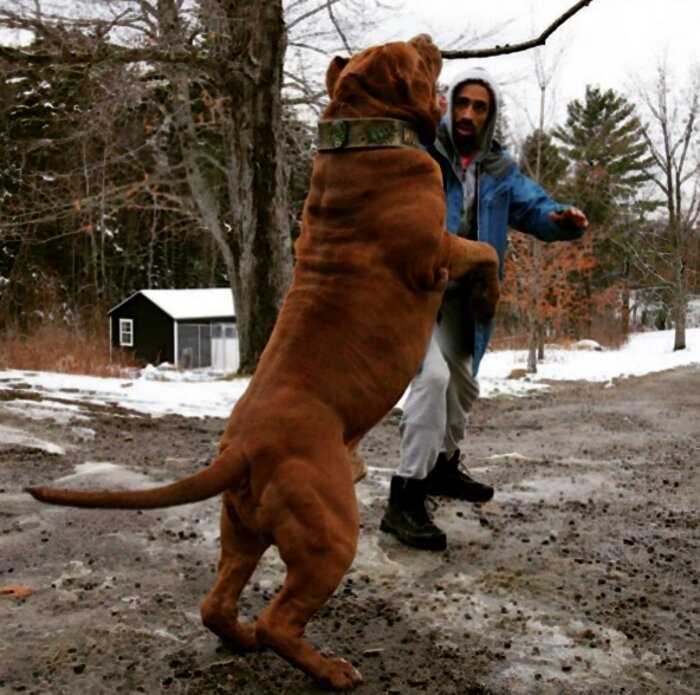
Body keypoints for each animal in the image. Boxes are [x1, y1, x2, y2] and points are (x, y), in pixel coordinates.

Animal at [26, 36, 498, 692]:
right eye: (411, 53)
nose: (429, 40)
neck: (359, 130)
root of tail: (243, 450)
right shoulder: (436, 254)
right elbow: (488, 250)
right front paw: (487, 295)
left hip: (241, 532)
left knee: (216, 604)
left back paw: (243, 639)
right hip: (329, 537)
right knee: (280, 619)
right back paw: (331, 670)